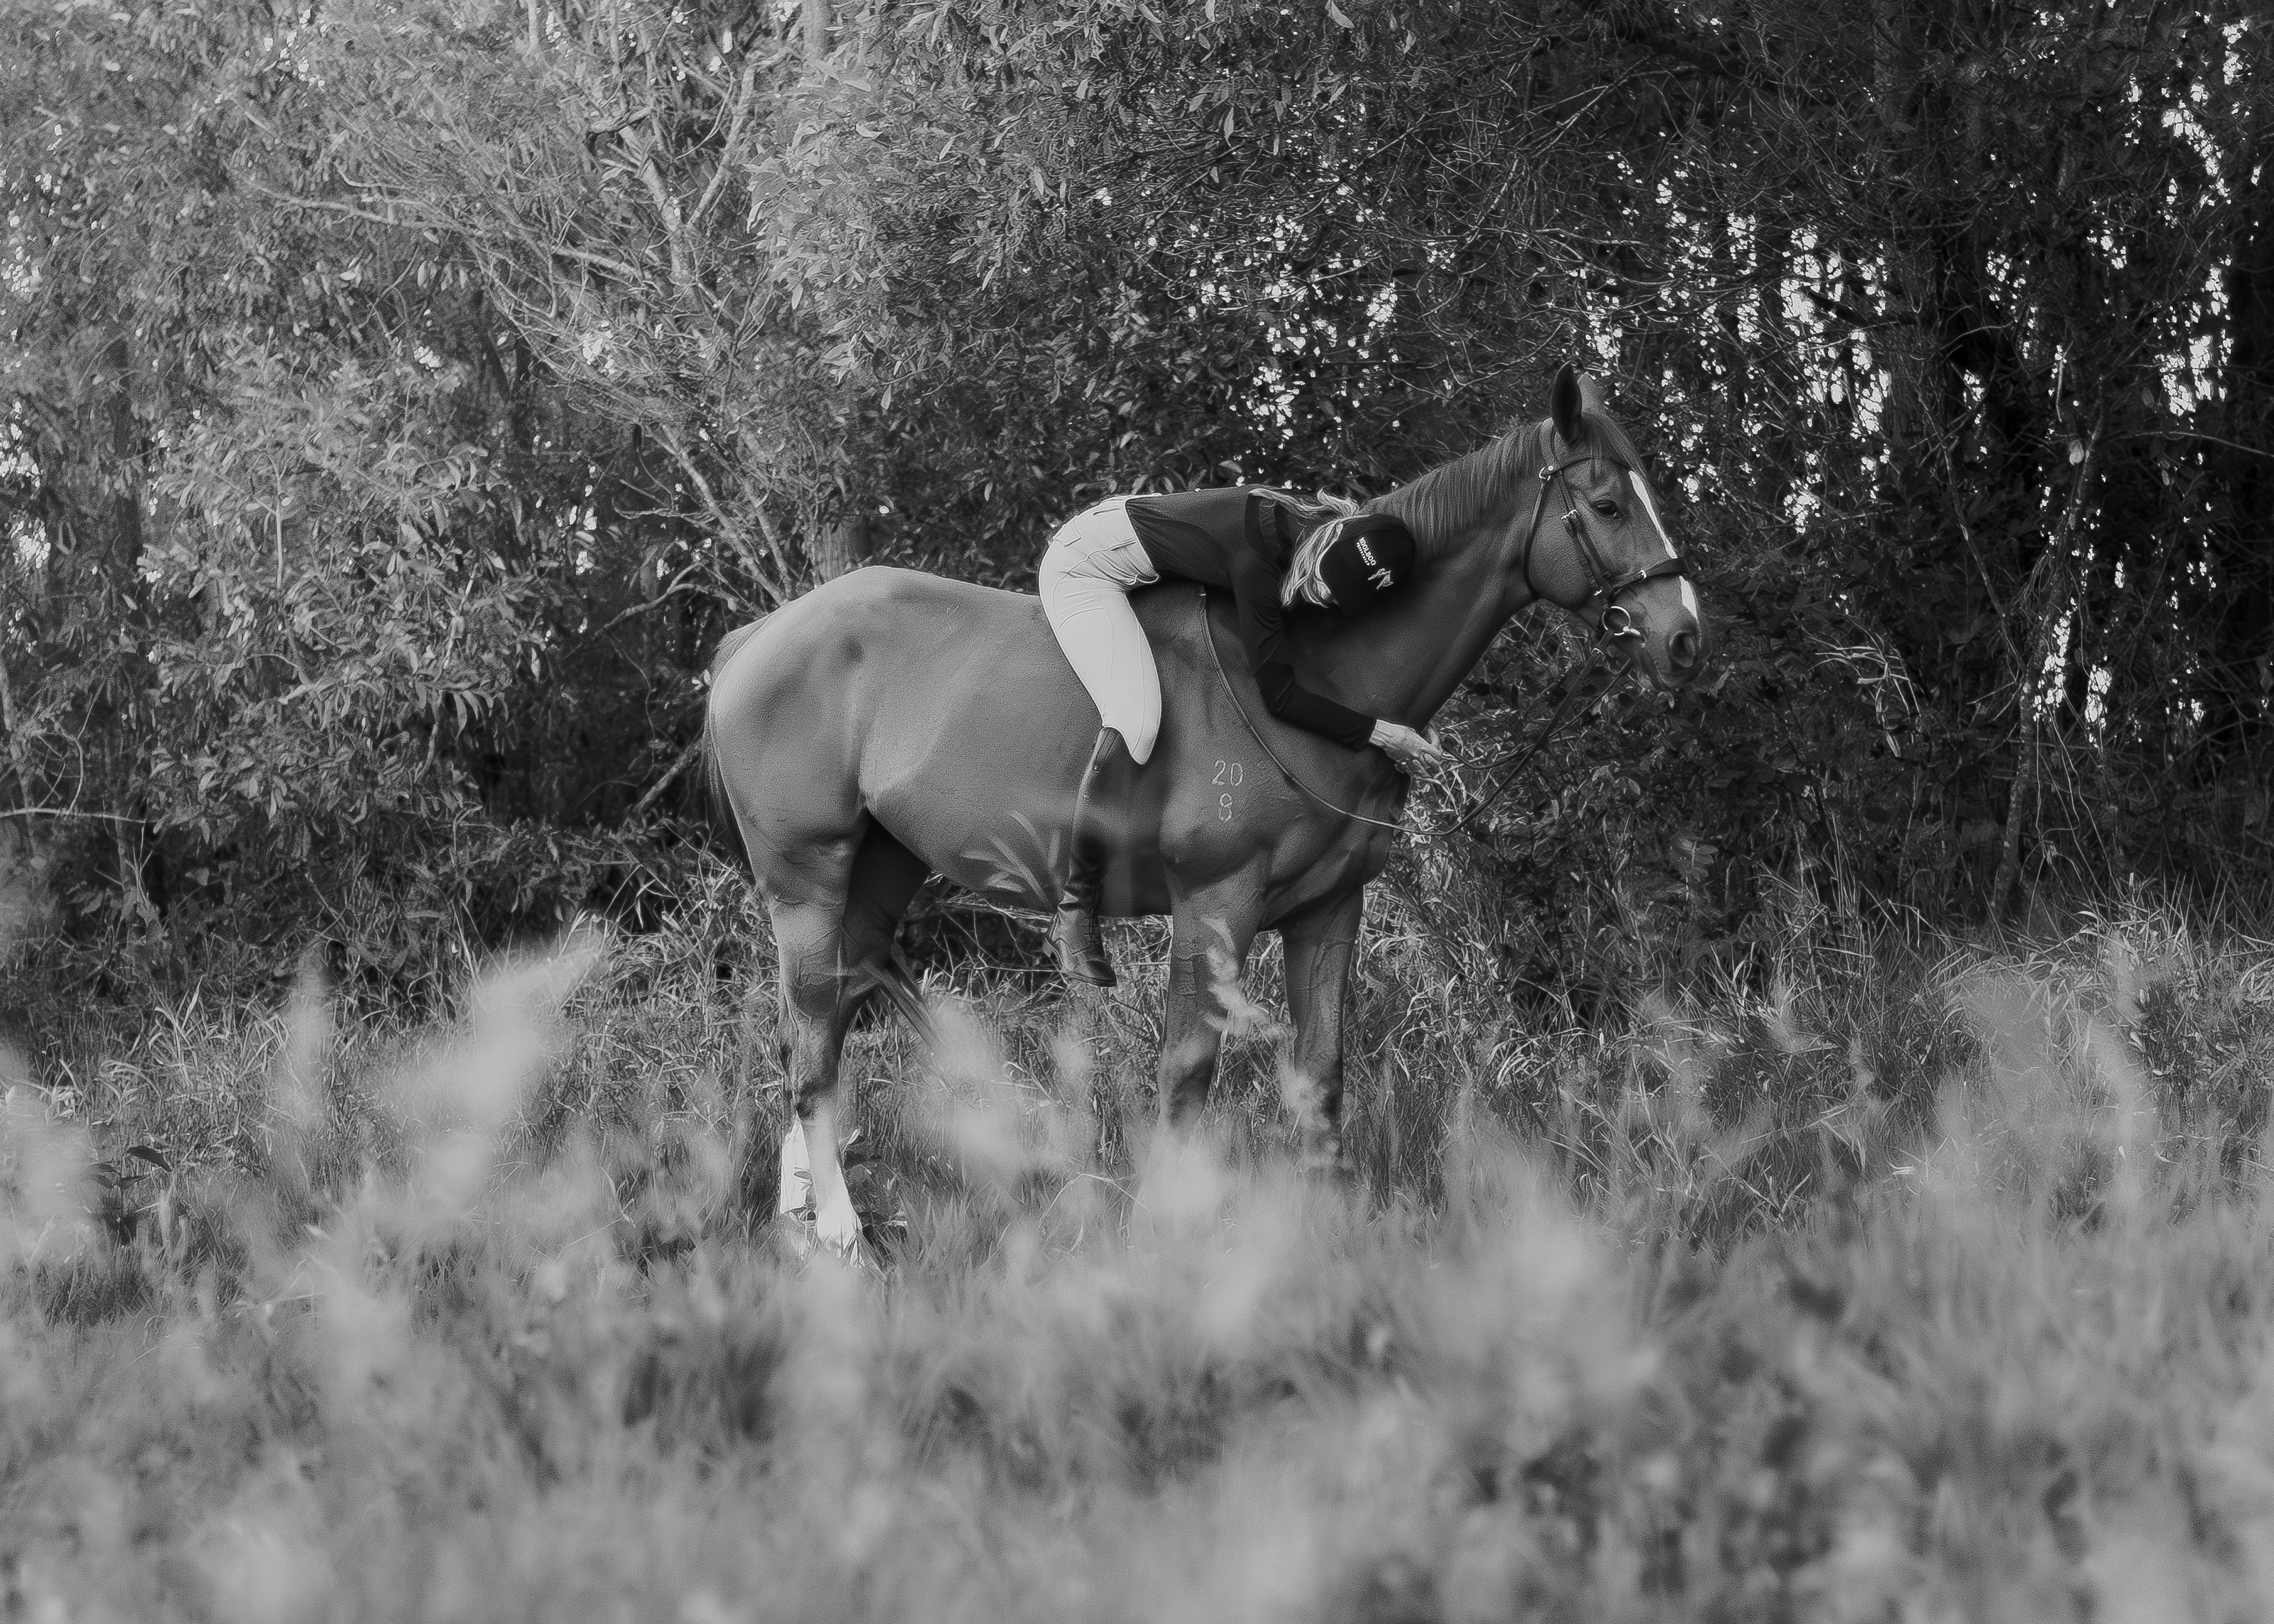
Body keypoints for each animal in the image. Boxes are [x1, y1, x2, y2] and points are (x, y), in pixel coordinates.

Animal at [702, 365, 1708, 1256]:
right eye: (1608, 505)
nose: (1685, 640)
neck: (1324, 670)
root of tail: (757, 635)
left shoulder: (1326, 910)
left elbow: (1321, 1075)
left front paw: (1334, 1232)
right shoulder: (1216, 905)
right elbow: (1188, 1071)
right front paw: (1166, 1229)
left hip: (880, 866)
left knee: (838, 1008)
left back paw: (811, 1213)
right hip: (806, 877)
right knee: (810, 1038)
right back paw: (838, 1227)